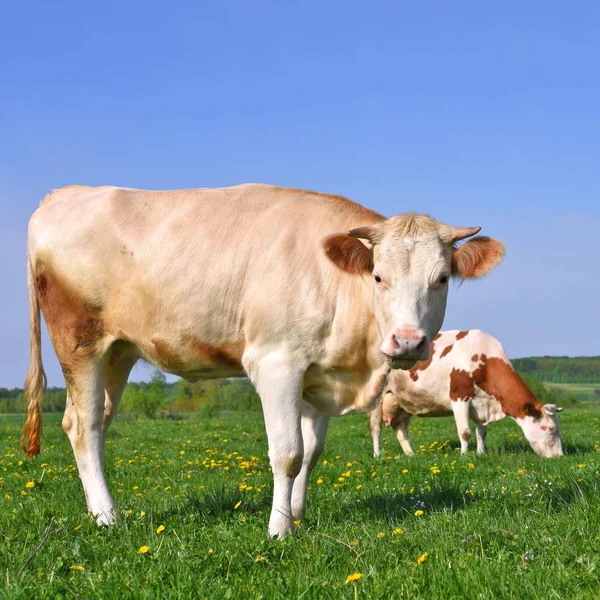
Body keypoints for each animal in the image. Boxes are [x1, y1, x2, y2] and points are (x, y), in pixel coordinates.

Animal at [21, 184, 504, 540]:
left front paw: (298, 515)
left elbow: (312, 453)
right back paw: (108, 518)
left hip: (117, 352)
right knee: (83, 426)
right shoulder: (277, 363)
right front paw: (278, 531)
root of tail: (62, 195)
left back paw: (97, 510)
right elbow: (288, 453)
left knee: (96, 422)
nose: (407, 342)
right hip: (79, 342)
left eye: (442, 279)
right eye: (378, 277)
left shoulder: (317, 373)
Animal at [370, 330, 564, 458]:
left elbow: (481, 432)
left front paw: (480, 453)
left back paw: (411, 454)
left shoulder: (482, 405)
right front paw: (464, 455)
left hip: (402, 401)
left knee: (401, 430)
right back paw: (378, 455)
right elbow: (465, 432)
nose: (560, 456)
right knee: (376, 430)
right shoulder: (459, 398)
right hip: (376, 399)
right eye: (551, 428)